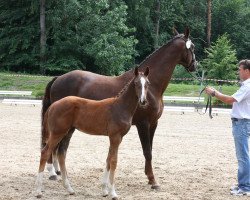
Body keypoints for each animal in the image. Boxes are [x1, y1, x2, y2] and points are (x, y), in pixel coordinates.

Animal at [36, 67, 149, 200]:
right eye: (136, 83)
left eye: (147, 83)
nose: (143, 101)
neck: (120, 107)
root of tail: (53, 105)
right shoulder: (115, 137)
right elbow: (113, 161)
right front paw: (113, 192)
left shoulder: (115, 138)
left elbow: (108, 159)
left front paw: (104, 190)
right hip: (57, 133)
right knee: (45, 152)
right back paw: (38, 191)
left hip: (68, 132)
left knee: (61, 154)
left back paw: (69, 189)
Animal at [41, 27, 197, 189]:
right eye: (192, 47)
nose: (195, 65)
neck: (152, 86)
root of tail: (58, 78)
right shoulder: (143, 124)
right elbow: (147, 151)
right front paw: (153, 180)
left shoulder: (153, 124)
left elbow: (150, 150)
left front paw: (149, 177)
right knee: (52, 146)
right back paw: (52, 172)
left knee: (57, 147)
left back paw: (58, 171)